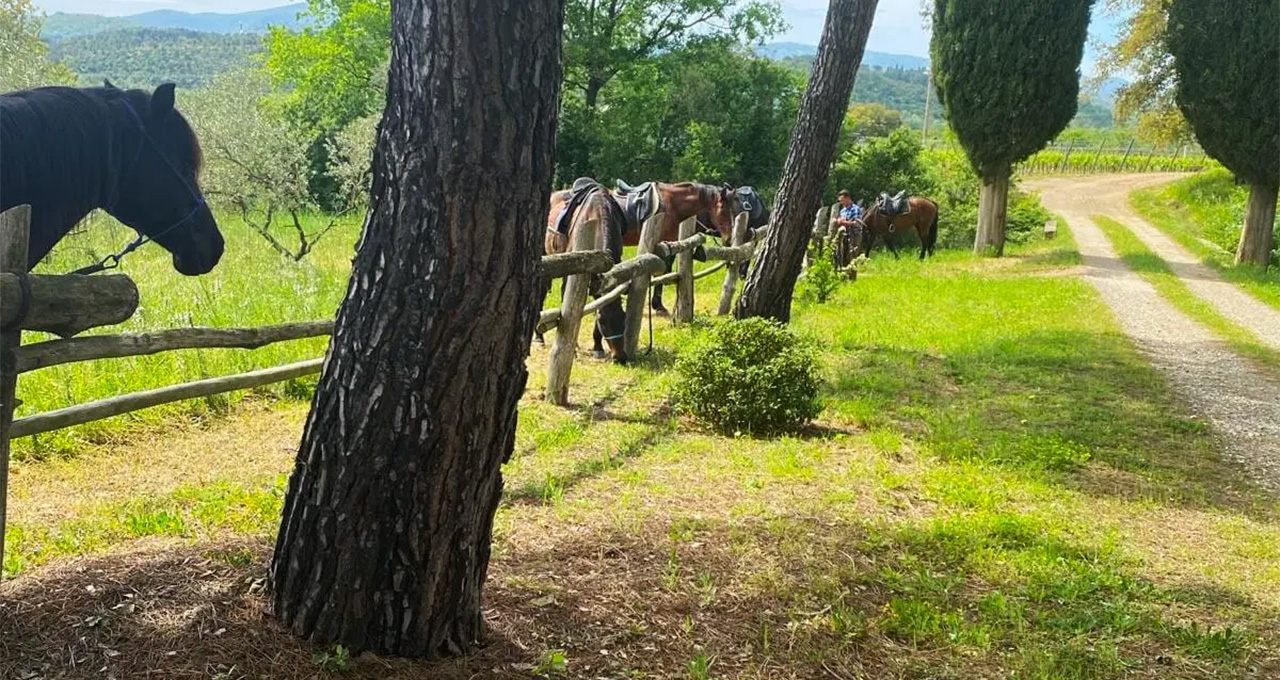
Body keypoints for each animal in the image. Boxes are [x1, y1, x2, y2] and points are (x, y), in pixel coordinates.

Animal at [537, 178, 627, 363]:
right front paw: (575, 349)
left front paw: (598, 347)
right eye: (603, 323)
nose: (620, 357)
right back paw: (539, 338)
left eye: (624, 317)